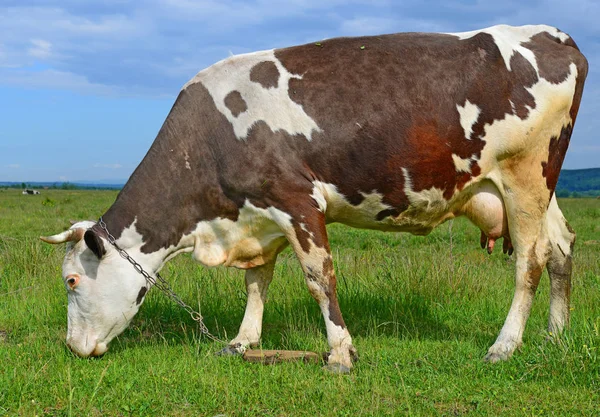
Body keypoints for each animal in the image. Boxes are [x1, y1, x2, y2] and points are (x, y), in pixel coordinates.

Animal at [41, 24, 584, 372]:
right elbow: (257, 283)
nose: (71, 347)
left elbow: (319, 279)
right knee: (561, 248)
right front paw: (243, 341)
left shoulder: (298, 201)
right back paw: (555, 335)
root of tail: (555, 35)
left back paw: (504, 346)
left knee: (530, 259)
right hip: (542, 184)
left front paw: (341, 353)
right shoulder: (259, 215)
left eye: (71, 280)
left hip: (524, 174)